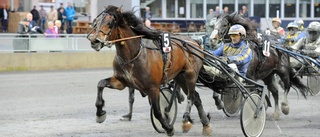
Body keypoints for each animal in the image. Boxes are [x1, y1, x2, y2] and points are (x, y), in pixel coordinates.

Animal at [86, 5, 211, 136]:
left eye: (110, 23)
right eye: (95, 22)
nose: (94, 40)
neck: (133, 55)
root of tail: (195, 42)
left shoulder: (153, 88)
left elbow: (157, 111)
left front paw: (168, 128)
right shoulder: (121, 82)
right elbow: (100, 84)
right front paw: (100, 113)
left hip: (190, 74)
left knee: (191, 97)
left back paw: (186, 121)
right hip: (180, 77)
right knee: (196, 97)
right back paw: (206, 125)